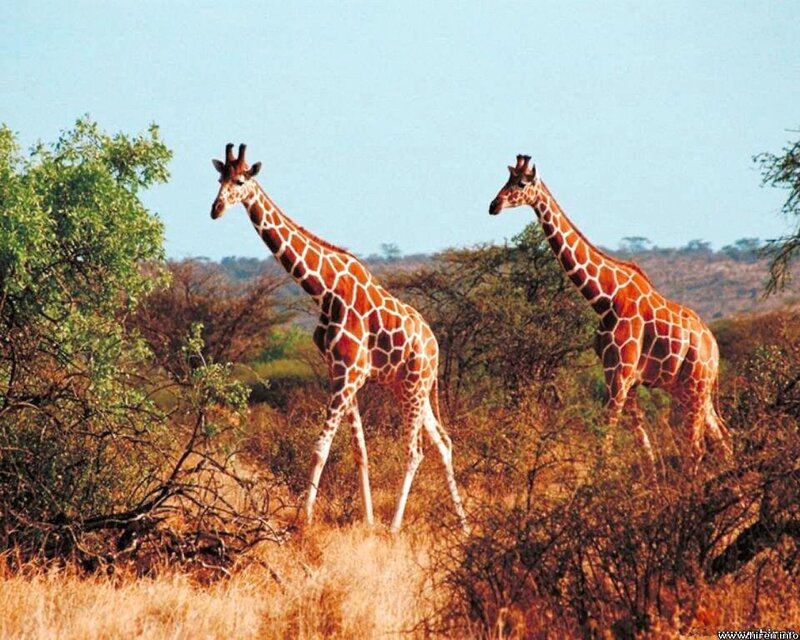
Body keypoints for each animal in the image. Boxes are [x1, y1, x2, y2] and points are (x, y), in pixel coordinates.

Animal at [210, 144, 466, 532]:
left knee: (415, 450)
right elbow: (360, 450)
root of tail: (435, 345)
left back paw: (395, 528)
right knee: (443, 442)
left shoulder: (348, 375)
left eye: (240, 181)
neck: (324, 289)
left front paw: (305, 520)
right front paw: (368, 520)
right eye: (219, 178)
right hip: (411, 387)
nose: (216, 209)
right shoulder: (343, 373)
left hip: (414, 385)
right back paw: (463, 524)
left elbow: (321, 447)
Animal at [488, 155, 732, 468]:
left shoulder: (620, 374)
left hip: (695, 386)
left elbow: (605, 438)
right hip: (689, 388)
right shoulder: (620, 376)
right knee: (722, 438)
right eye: (506, 179)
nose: (494, 205)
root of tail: (713, 346)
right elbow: (643, 445)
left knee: (697, 446)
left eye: (520, 183)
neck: (605, 299)